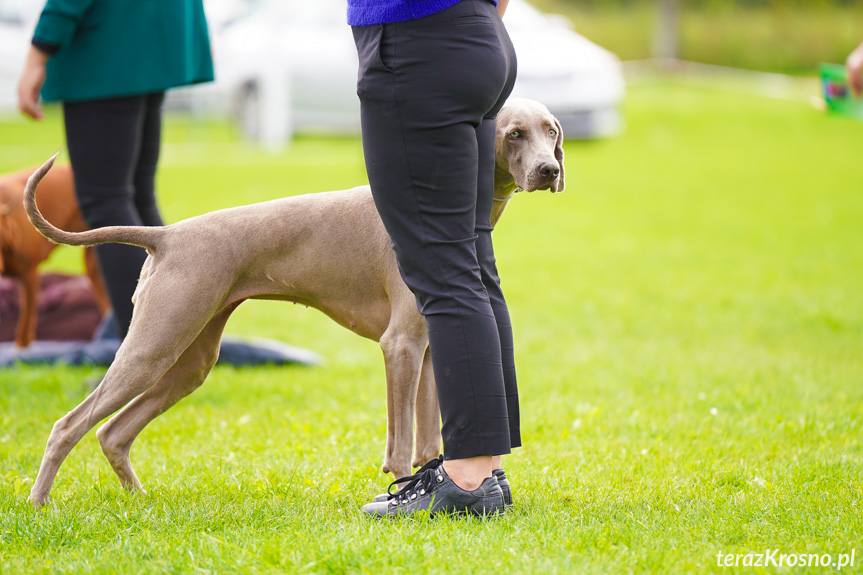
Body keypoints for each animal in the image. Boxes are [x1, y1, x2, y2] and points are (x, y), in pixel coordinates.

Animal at [22, 100, 568, 508]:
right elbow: (399, 446)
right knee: (68, 425)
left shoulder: (433, 352)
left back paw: (140, 501)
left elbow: (430, 441)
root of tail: (167, 234)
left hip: (191, 360)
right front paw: (398, 493)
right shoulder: (401, 346)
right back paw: (39, 504)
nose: (550, 169)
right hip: (153, 346)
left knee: (113, 432)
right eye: (514, 133)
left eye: (551, 130)